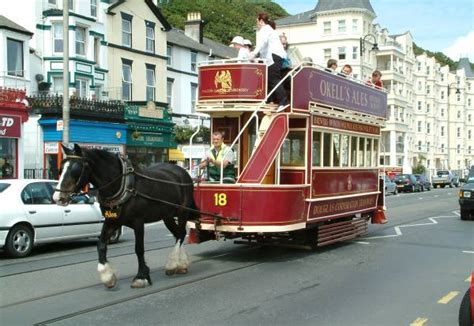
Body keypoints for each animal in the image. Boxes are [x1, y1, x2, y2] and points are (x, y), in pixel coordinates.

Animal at [54, 144, 200, 290]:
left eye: (76, 169)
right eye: (61, 168)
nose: (57, 198)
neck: (122, 184)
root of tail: (182, 172)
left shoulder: (138, 222)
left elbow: (139, 249)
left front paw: (141, 277)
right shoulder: (112, 221)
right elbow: (101, 245)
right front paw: (107, 277)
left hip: (182, 212)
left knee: (181, 234)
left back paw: (174, 263)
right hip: (167, 216)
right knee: (178, 234)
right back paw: (181, 264)